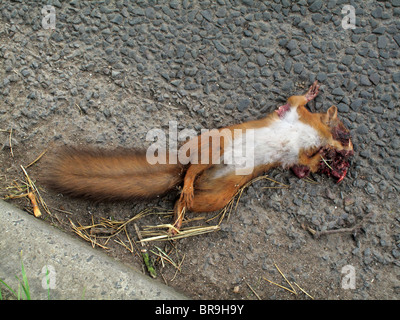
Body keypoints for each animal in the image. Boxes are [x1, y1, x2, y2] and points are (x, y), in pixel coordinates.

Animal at [43, 81, 354, 234]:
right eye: (345, 131)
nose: (350, 154)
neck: (312, 135)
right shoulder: (294, 113)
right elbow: (295, 99)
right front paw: (313, 91)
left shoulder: (300, 157)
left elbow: (304, 165)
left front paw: (327, 163)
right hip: (214, 146)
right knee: (192, 171)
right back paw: (186, 192)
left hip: (220, 194)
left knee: (185, 200)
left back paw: (179, 217)